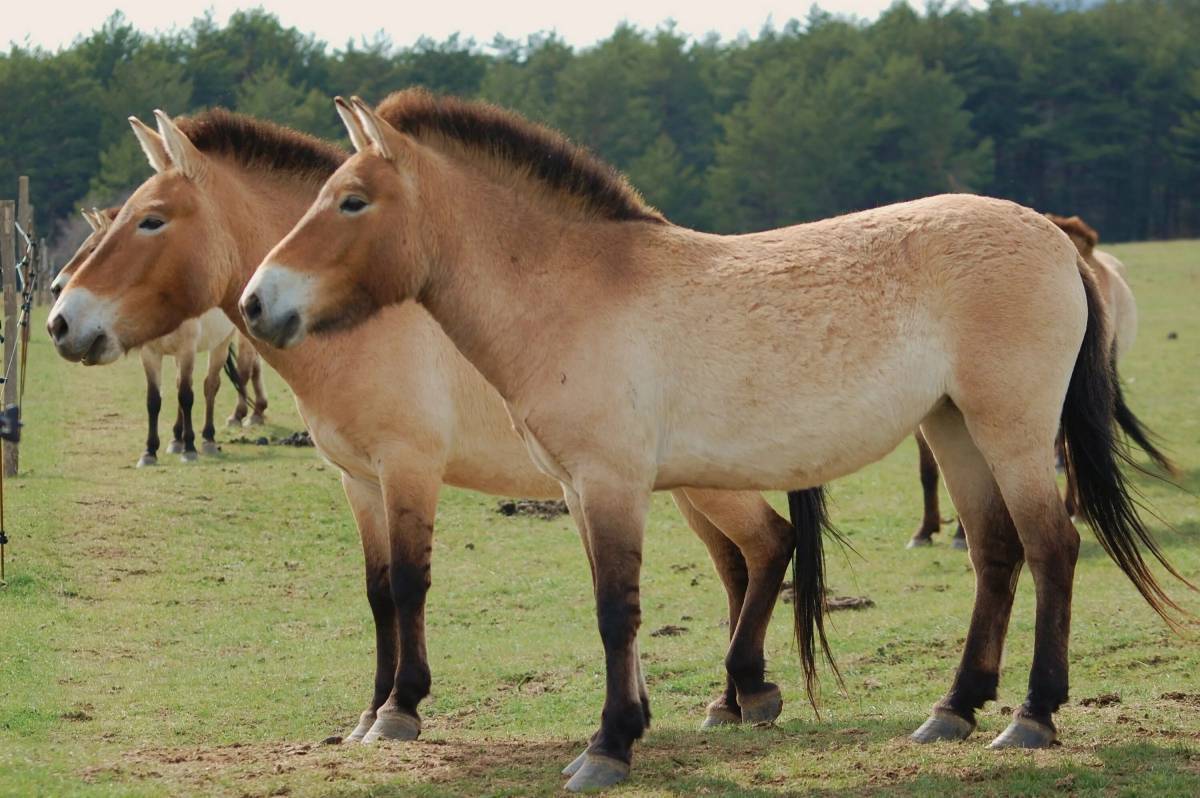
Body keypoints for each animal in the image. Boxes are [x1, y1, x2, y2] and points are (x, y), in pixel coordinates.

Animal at [49, 208, 265, 463]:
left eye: (93, 249)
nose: (56, 287)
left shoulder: (187, 349)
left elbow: (186, 395)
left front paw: (190, 447)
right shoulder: (150, 353)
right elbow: (154, 400)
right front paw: (151, 450)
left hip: (220, 343)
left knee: (212, 385)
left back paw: (209, 438)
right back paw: (177, 438)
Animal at [241, 88, 1190, 792]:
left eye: (351, 200)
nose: (257, 302)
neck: (572, 289)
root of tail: (1051, 234)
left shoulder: (612, 483)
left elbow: (615, 611)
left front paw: (608, 749)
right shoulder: (581, 490)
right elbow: (614, 610)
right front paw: (639, 725)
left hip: (1013, 430)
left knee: (1051, 547)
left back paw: (1032, 717)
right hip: (955, 430)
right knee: (995, 554)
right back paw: (953, 711)